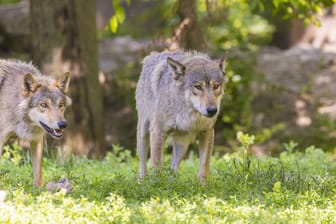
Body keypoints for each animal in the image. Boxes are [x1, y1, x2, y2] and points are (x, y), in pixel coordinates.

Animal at [0, 59, 71, 187]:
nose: (63, 124)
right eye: (43, 105)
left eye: (61, 105)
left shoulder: (36, 139)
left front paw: (39, 189)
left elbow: (38, 172)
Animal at [135, 50, 226, 182]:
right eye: (198, 86)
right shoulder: (157, 132)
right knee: (142, 166)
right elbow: (157, 167)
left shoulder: (208, 132)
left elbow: (204, 166)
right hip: (143, 134)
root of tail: (153, 54)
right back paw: (142, 181)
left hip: (182, 144)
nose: (212, 110)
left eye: (216, 86)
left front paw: (203, 185)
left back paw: (174, 183)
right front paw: (158, 185)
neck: (189, 114)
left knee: (173, 168)